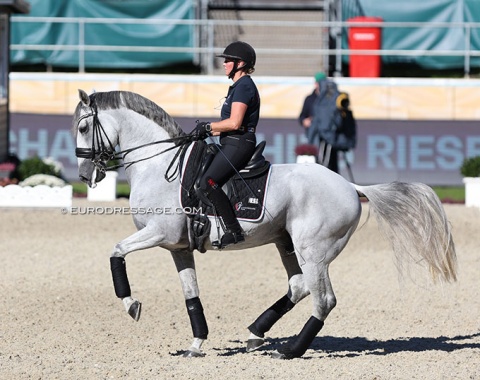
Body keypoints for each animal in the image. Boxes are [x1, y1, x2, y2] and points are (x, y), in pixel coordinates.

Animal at [73, 89, 456, 360]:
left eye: (83, 127)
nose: (85, 176)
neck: (157, 165)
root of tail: (350, 186)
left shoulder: (156, 233)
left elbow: (116, 253)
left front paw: (131, 305)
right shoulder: (178, 247)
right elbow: (191, 295)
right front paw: (196, 344)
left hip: (313, 251)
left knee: (323, 299)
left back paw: (290, 351)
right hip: (285, 242)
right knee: (299, 287)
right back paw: (255, 334)